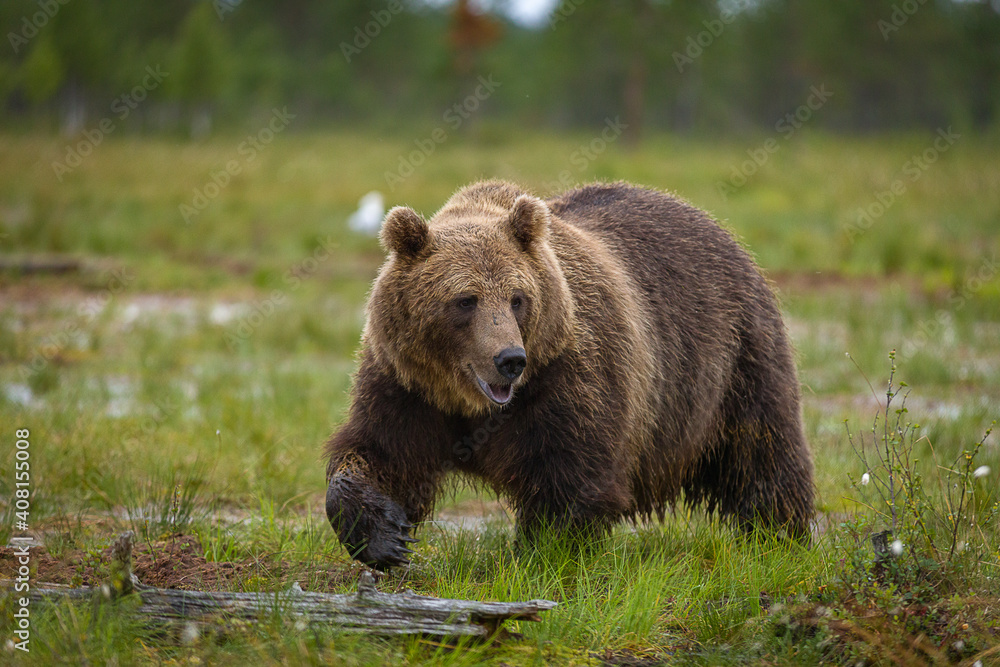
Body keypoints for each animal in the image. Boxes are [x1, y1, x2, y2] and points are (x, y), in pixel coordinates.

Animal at [326, 181, 812, 568]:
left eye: (517, 298)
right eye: (465, 300)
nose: (509, 359)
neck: (469, 401)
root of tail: (720, 229)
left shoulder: (569, 376)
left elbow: (569, 476)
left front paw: (540, 554)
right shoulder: (407, 384)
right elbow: (380, 453)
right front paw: (386, 537)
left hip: (732, 361)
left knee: (763, 452)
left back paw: (779, 536)